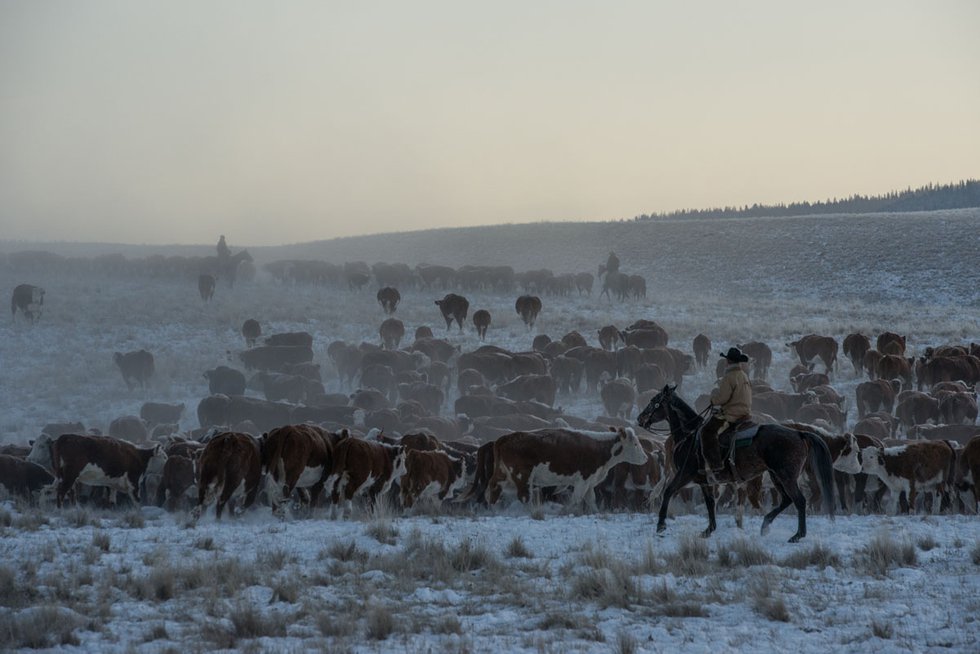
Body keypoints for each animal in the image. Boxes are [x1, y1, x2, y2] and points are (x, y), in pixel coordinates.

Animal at [484, 428, 652, 516]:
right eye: (635, 444)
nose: (645, 458)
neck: (601, 448)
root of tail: (506, 438)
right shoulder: (583, 480)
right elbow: (576, 499)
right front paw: (564, 512)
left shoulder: (590, 482)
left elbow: (591, 499)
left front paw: (596, 512)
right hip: (522, 476)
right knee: (524, 496)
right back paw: (531, 512)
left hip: (502, 473)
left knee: (494, 487)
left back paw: (493, 510)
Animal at [636, 384, 836, 544]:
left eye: (654, 401)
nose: (640, 419)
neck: (689, 436)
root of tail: (799, 434)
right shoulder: (705, 481)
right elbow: (710, 503)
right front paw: (709, 530)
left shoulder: (685, 474)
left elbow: (668, 492)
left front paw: (661, 525)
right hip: (776, 475)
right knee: (787, 500)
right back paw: (766, 525)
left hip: (785, 476)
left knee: (799, 501)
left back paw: (797, 535)